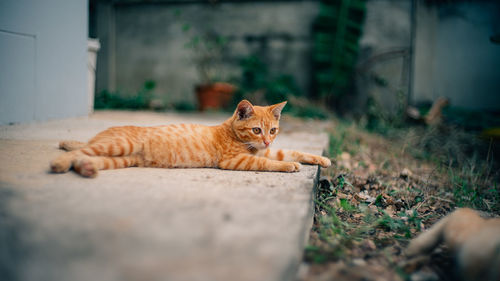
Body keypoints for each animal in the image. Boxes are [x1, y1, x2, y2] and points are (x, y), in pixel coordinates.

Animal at [50, 99, 332, 176]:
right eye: (256, 130)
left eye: (272, 130)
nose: (266, 140)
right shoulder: (235, 161)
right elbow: (269, 162)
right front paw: (289, 166)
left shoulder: (268, 150)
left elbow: (291, 151)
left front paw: (321, 159)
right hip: (118, 146)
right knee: (78, 152)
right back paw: (59, 163)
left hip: (121, 158)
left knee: (84, 157)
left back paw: (86, 169)